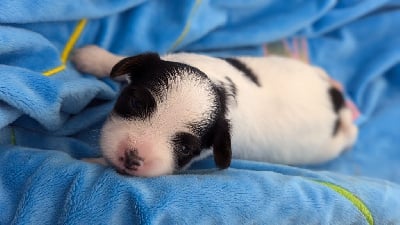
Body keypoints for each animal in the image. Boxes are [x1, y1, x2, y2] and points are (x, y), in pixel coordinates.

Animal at [70, 44, 358, 177]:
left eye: (185, 148)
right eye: (136, 103)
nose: (132, 158)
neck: (218, 87)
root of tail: (337, 107)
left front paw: (94, 161)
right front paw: (94, 57)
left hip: (328, 148)